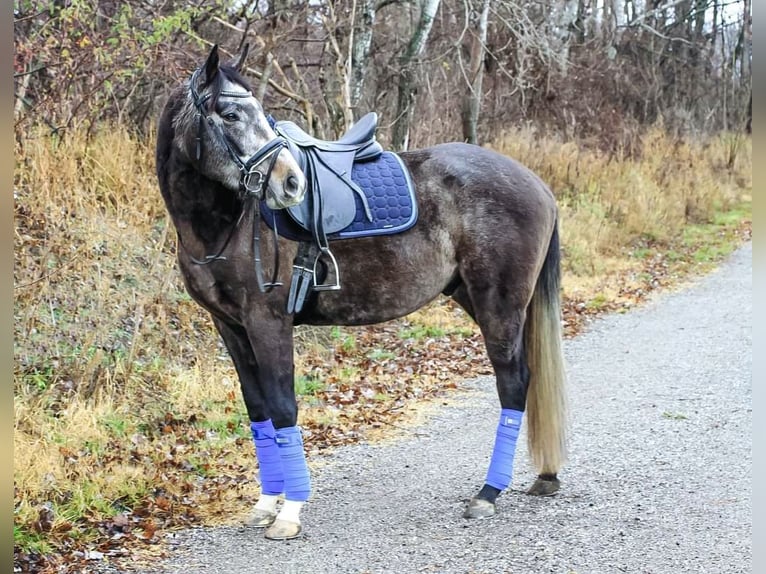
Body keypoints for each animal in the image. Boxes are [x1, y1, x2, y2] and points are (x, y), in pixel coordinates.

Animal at [154, 46, 568, 544]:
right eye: (231, 113)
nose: (291, 183)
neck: (226, 224)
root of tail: (537, 184)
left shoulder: (267, 322)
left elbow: (283, 406)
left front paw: (290, 511)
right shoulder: (230, 326)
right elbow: (258, 410)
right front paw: (265, 503)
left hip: (498, 306)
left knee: (513, 384)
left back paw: (488, 493)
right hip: (478, 299)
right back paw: (542, 477)